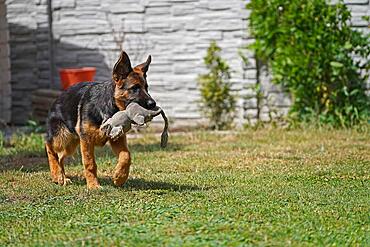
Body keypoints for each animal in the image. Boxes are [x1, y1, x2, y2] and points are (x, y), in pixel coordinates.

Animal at [45, 51, 155, 188]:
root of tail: (58, 97)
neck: (109, 105)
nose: (153, 104)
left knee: (60, 156)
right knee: (49, 147)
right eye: (135, 88)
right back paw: (56, 175)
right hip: (61, 137)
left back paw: (62, 178)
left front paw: (120, 177)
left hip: (71, 143)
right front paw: (93, 185)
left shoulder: (117, 139)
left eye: (147, 87)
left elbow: (126, 156)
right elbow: (90, 163)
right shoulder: (86, 140)